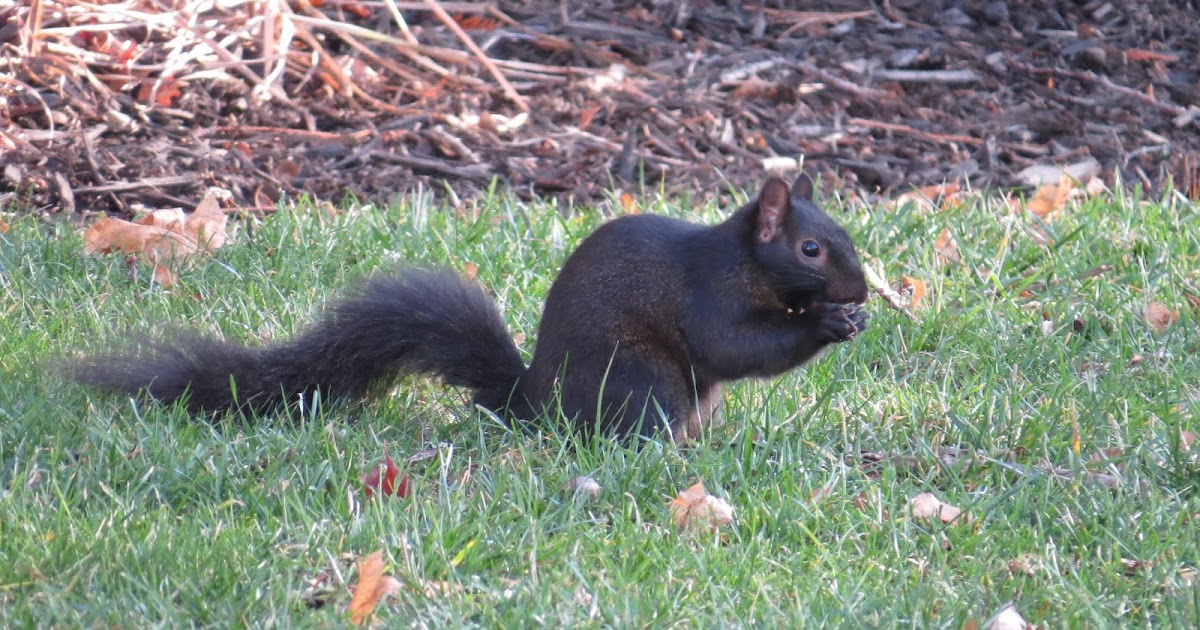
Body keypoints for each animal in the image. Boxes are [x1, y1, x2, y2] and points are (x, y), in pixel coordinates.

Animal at [75, 175, 869, 442]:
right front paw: (825, 324)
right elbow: (733, 346)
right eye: (810, 250)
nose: (861, 294)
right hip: (644, 380)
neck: (744, 262)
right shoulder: (710, 296)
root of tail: (539, 405)